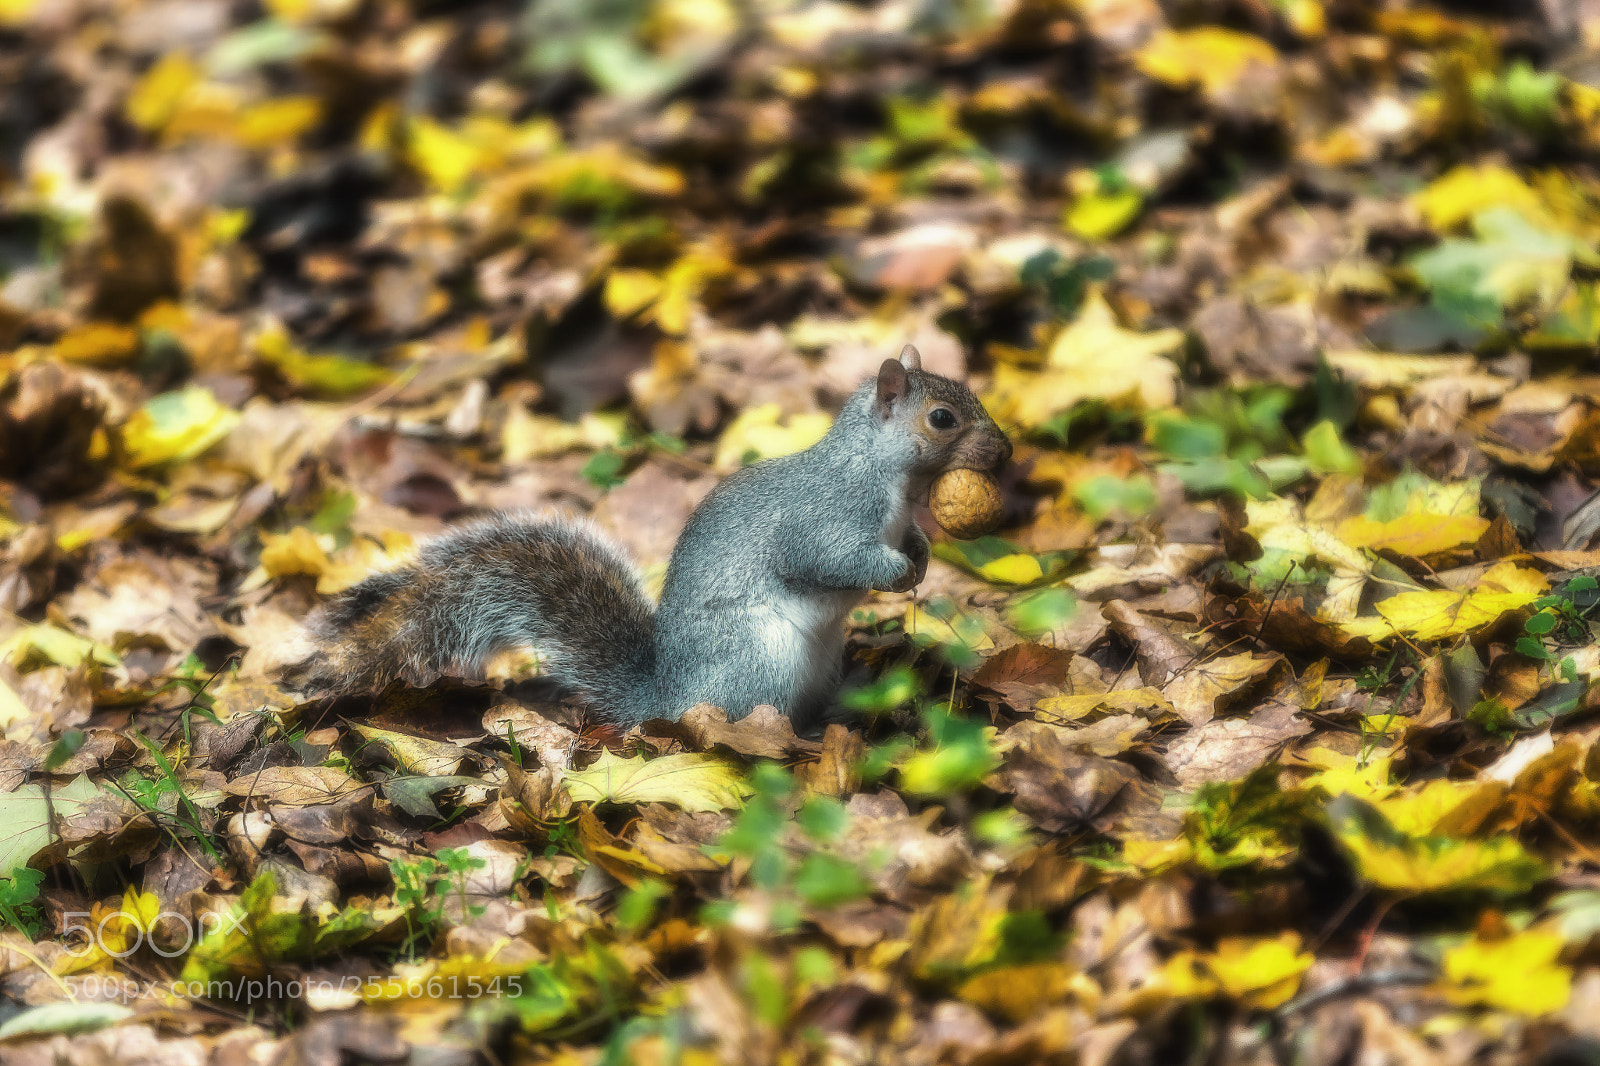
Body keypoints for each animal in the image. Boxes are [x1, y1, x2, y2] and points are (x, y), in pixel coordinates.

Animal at [285, 345, 1011, 730]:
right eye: (942, 418)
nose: (1005, 452)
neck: (887, 478)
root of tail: (666, 701)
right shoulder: (823, 519)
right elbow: (831, 560)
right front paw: (894, 573)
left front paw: (921, 557)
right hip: (764, 661)